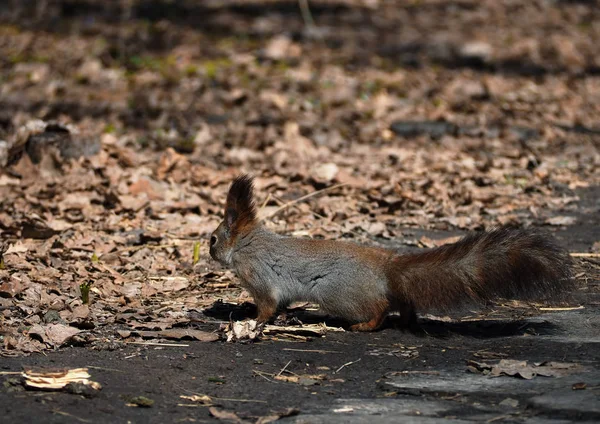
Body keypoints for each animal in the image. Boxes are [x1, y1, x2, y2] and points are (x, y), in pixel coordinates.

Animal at [209, 175, 576, 332]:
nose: (208, 252)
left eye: (212, 239)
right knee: (401, 303)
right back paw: (407, 318)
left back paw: (365, 325)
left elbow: (268, 304)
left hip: (335, 292)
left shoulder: (258, 274)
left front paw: (253, 320)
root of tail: (386, 270)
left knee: (379, 309)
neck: (246, 244)